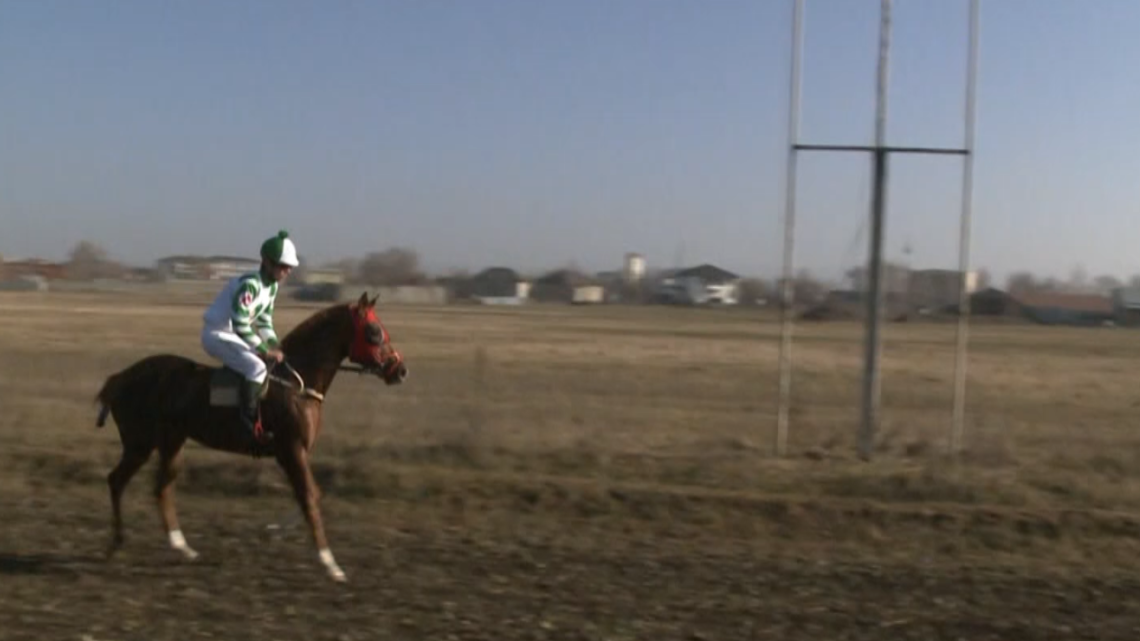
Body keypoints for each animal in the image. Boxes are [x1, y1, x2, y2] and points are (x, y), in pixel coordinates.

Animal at [92, 291, 405, 581]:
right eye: (374, 332)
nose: (400, 370)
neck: (297, 384)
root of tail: (119, 378)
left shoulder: (293, 454)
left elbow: (313, 494)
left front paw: (274, 531)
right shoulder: (291, 450)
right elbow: (309, 496)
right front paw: (331, 564)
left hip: (172, 442)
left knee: (161, 487)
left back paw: (182, 547)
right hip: (140, 443)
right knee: (117, 480)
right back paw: (117, 543)